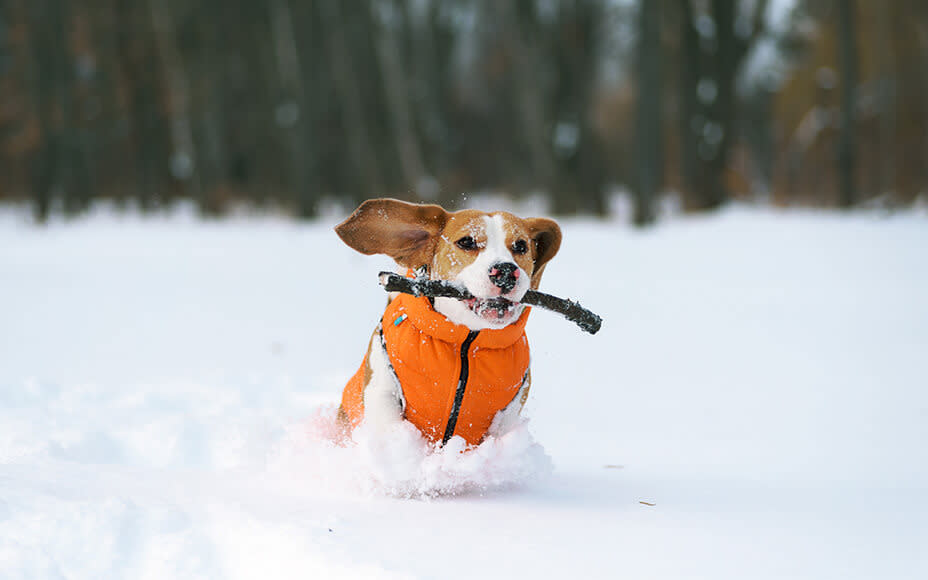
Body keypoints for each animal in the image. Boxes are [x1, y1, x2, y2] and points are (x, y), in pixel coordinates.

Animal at [338, 197, 560, 446]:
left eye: (521, 246)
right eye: (466, 242)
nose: (505, 271)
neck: (467, 340)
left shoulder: (509, 411)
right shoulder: (382, 385)